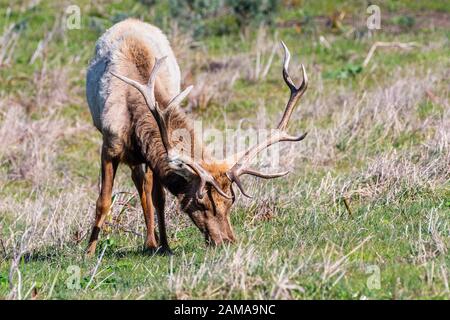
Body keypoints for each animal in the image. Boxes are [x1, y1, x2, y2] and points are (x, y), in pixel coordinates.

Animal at [85, 18, 306, 256]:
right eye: (200, 204)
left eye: (230, 203)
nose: (227, 241)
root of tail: (131, 20)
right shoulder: (109, 146)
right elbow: (103, 201)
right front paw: (89, 251)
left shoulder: (152, 157)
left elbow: (158, 198)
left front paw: (165, 245)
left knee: (144, 186)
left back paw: (152, 242)